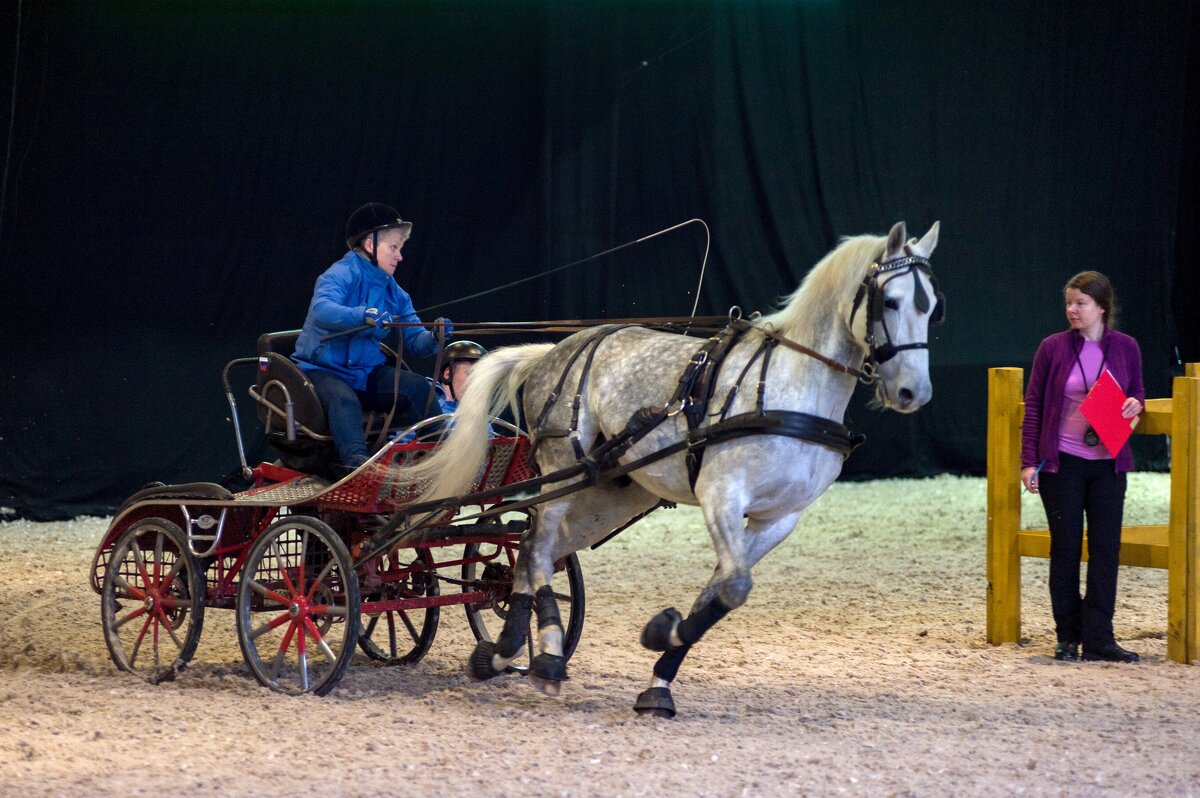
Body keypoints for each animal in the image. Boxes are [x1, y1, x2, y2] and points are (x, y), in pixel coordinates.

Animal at [405, 219, 945, 715]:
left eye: (931, 308)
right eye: (890, 302)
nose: (913, 393)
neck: (789, 390)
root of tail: (551, 350)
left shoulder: (779, 519)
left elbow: (717, 593)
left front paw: (658, 681)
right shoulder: (721, 495)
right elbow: (735, 586)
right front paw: (659, 633)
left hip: (611, 492)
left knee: (534, 551)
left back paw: (506, 653)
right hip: (563, 466)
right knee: (536, 547)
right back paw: (548, 658)